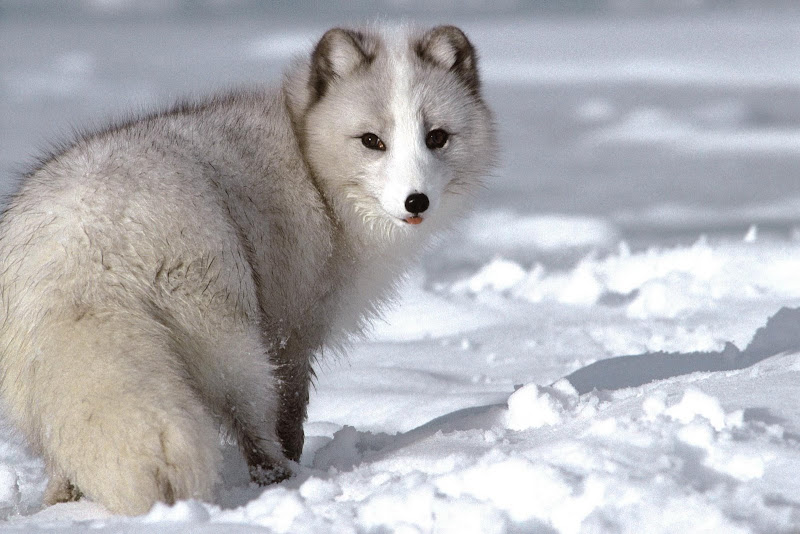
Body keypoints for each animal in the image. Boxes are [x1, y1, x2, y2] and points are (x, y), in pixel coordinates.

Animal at [0, 24, 494, 516]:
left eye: (437, 137)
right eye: (372, 141)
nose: (416, 201)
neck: (310, 162)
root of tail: (84, 245)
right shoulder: (292, 332)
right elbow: (291, 412)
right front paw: (294, 460)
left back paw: (60, 504)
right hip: (231, 343)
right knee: (252, 423)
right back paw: (280, 479)